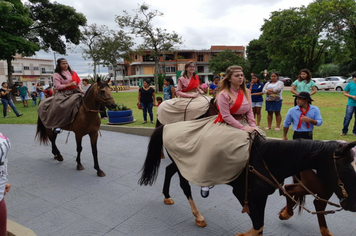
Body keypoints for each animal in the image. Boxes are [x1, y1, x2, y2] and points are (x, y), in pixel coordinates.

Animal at [138, 124, 356, 235]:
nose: (352, 204)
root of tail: (168, 125)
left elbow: (259, 226)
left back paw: (167, 195)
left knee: (169, 170)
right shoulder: (245, 193)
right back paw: (197, 216)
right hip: (184, 163)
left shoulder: (261, 195)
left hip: (180, 162)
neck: (266, 159)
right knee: (184, 184)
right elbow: (257, 225)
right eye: (346, 170)